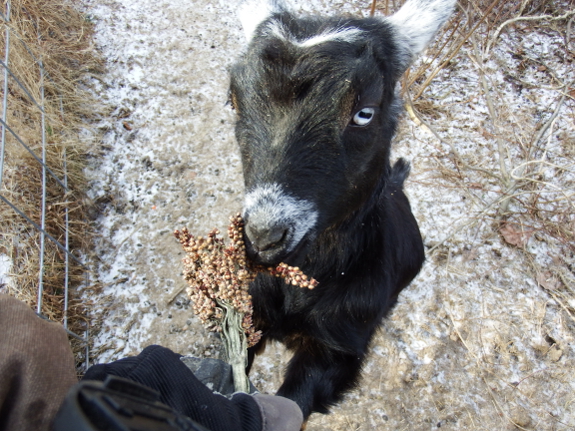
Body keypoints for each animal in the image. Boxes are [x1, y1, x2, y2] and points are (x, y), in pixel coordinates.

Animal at [228, 0, 454, 418]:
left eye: (364, 113)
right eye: (233, 98)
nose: (265, 238)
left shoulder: (340, 348)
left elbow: (295, 399)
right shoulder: (248, 310)